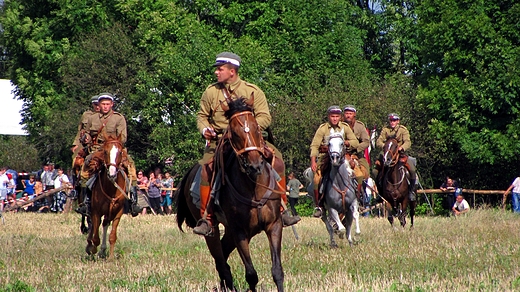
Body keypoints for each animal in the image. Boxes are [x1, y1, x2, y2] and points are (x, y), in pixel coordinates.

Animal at [176, 96, 284, 292]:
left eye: (256, 127)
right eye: (234, 133)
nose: (255, 165)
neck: (253, 187)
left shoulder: (274, 225)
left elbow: (277, 271)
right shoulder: (239, 231)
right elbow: (251, 275)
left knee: (223, 256)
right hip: (213, 231)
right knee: (220, 261)